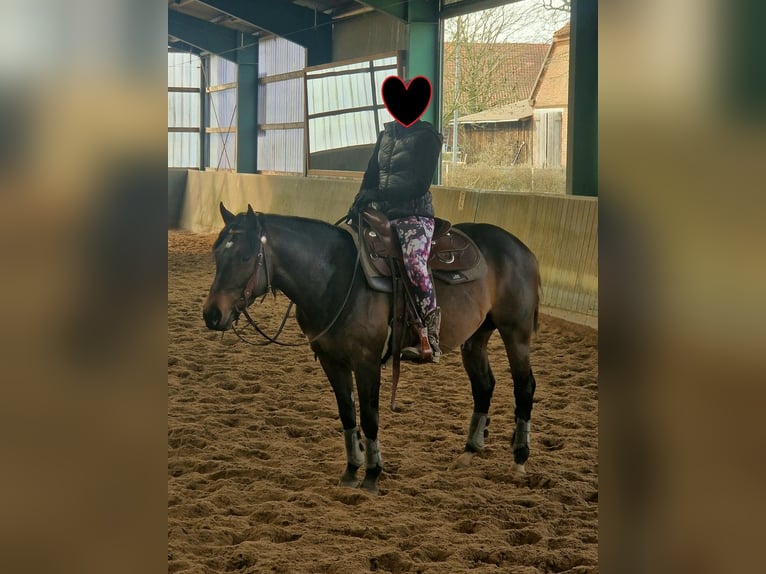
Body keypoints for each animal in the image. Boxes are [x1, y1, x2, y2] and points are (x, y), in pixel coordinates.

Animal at [203, 203, 541, 494]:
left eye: (245, 256)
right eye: (217, 254)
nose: (212, 314)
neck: (334, 278)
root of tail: (522, 248)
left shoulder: (366, 362)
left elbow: (369, 417)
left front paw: (372, 475)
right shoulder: (332, 361)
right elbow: (348, 415)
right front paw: (351, 471)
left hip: (516, 333)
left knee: (524, 386)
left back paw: (519, 459)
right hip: (476, 337)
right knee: (484, 385)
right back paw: (468, 452)